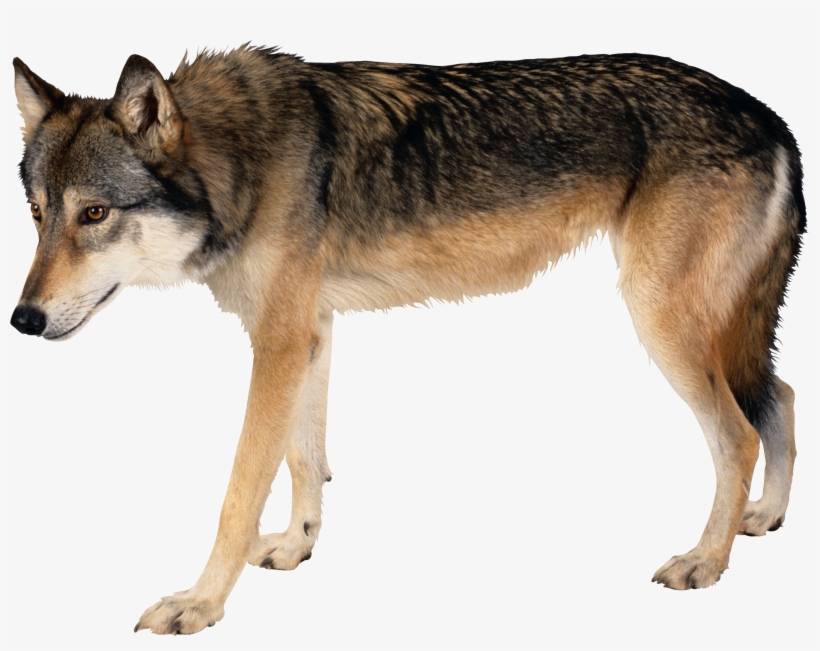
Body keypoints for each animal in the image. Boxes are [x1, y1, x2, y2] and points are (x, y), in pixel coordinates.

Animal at [10, 46, 804, 634]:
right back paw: (765, 517)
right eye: (39, 213)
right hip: (712, 328)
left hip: (660, 319)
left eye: (95, 213)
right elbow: (305, 459)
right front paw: (297, 545)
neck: (244, 158)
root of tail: (770, 116)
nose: (22, 320)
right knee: (785, 395)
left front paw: (200, 604)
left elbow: (240, 492)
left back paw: (705, 561)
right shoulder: (308, 331)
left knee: (738, 434)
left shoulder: (277, 340)